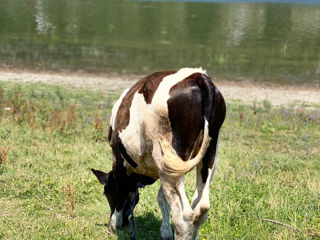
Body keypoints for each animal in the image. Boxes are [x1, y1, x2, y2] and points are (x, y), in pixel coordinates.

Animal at [91, 67, 226, 240]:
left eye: (106, 192)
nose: (124, 224)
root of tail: (198, 76)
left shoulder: (118, 159)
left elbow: (122, 191)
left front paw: (114, 224)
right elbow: (162, 199)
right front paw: (165, 232)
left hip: (167, 160)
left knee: (183, 217)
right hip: (208, 154)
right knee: (201, 208)